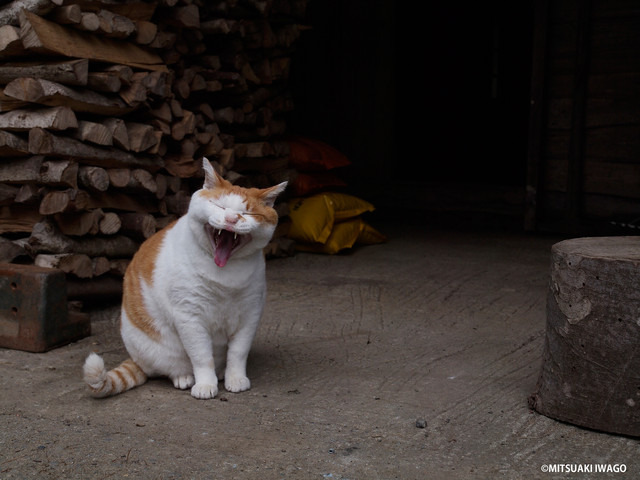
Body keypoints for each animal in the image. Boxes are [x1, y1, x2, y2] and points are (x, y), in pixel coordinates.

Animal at [83, 159, 288, 400]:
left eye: (247, 213)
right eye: (219, 206)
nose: (231, 219)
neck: (224, 274)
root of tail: (137, 360)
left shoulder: (250, 315)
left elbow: (238, 353)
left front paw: (235, 378)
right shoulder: (190, 316)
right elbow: (201, 356)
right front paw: (205, 384)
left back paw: (221, 373)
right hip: (159, 349)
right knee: (171, 368)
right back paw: (185, 377)